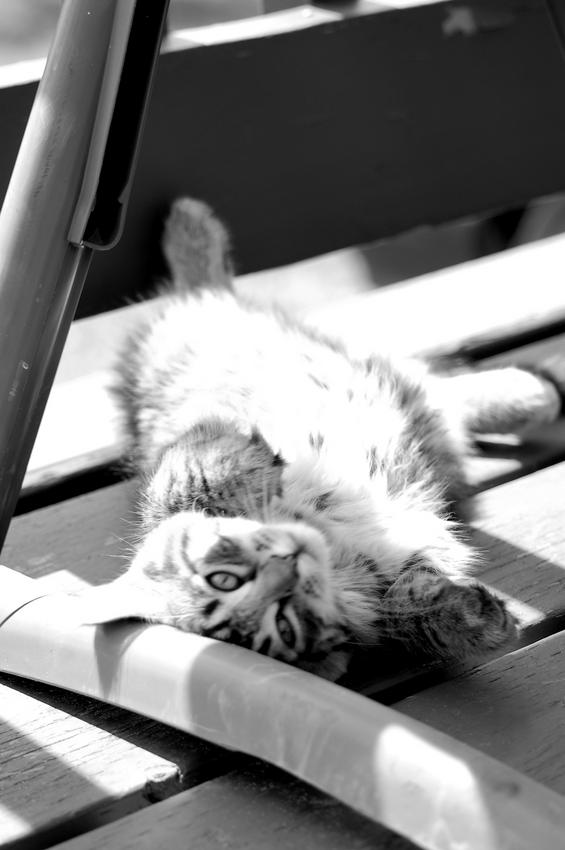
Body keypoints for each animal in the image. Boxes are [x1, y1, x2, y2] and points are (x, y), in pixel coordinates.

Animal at [79, 197, 564, 680]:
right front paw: (473, 621)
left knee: (198, 286)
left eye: (224, 578)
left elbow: (198, 479)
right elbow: (410, 615)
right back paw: (542, 392)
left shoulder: (182, 474)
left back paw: (188, 222)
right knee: (452, 402)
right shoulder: (396, 582)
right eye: (284, 627)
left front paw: (251, 456)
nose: (286, 565)